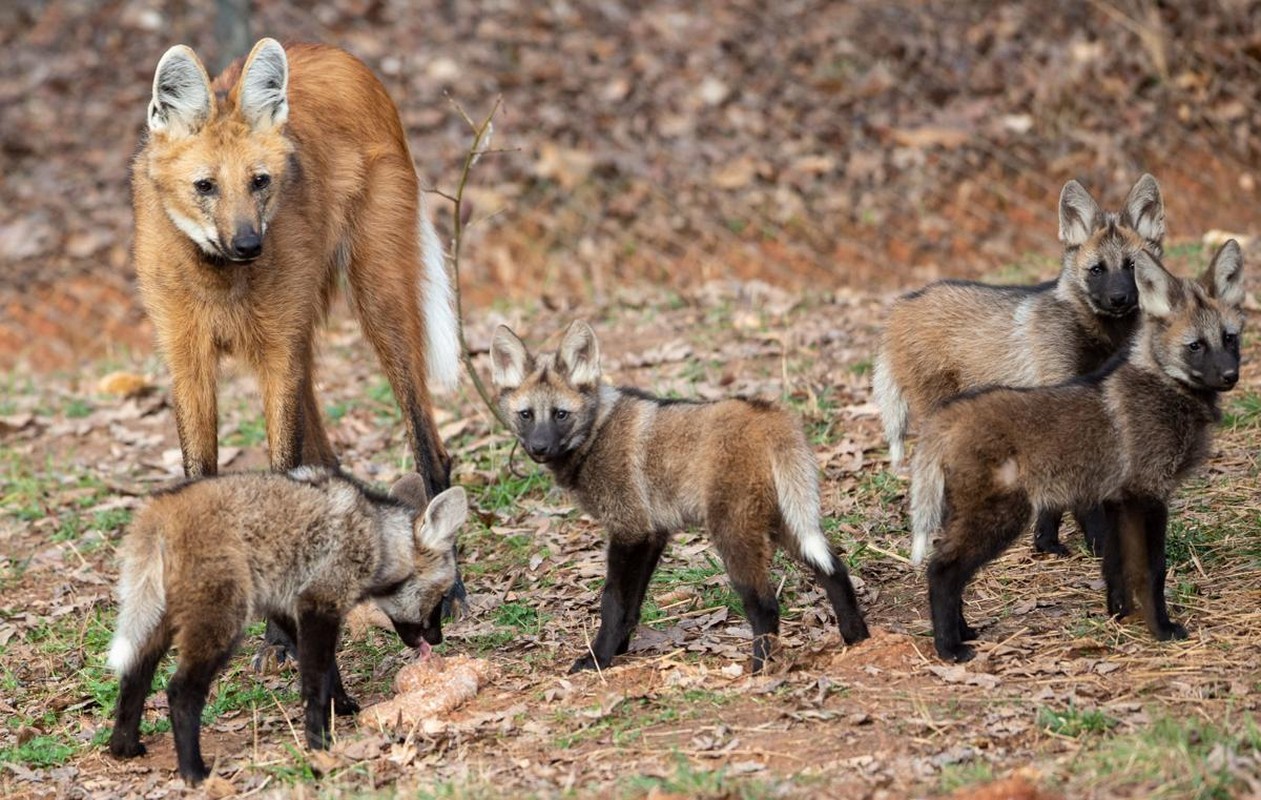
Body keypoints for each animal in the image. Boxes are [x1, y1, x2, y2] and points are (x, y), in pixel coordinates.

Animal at [107, 464, 469, 782]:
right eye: (440, 598)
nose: (437, 639)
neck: (378, 537)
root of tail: (163, 507)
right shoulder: (319, 604)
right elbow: (315, 682)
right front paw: (319, 743)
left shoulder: (291, 605)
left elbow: (328, 670)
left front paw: (341, 706)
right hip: (224, 625)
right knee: (180, 692)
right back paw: (194, 773)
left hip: (162, 618)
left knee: (135, 675)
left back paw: (123, 746)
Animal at [135, 38, 459, 499]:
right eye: (205, 186)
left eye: (259, 181)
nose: (249, 244)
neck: (221, 279)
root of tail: (339, 54)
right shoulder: (188, 355)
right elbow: (198, 467)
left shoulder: (277, 347)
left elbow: (283, 458)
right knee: (324, 450)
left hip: (375, 293)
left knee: (426, 436)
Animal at [489, 319, 867, 671]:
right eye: (526, 415)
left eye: (560, 415)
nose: (539, 447)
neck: (596, 434)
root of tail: (768, 414)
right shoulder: (652, 534)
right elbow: (631, 607)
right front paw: (618, 651)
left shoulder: (629, 532)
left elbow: (613, 603)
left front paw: (598, 658)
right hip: (786, 523)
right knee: (834, 571)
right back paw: (859, 640)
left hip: (734, 536)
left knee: (766, 606)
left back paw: (761, 670)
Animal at [877, 172, 1160, 555]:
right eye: (1097, 270)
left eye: (1132, 266)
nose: (1119, 298)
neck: (1098, 334)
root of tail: (900, 306)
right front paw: (1097, 544)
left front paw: (1046, 542)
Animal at [912, 241, 1245, 661]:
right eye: (1196, 346)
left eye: (1229, 339)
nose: (1230, 376)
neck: (1166, 390)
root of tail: (947, 415)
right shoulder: (1148, 496)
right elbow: (1151, 570)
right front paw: (1161, 629)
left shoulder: (1117, 500)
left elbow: (1115, 569)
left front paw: (1119, 617)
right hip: (1002, 517)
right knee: (942, 571)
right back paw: (949, 648)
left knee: (949, 570)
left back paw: (964, 632)